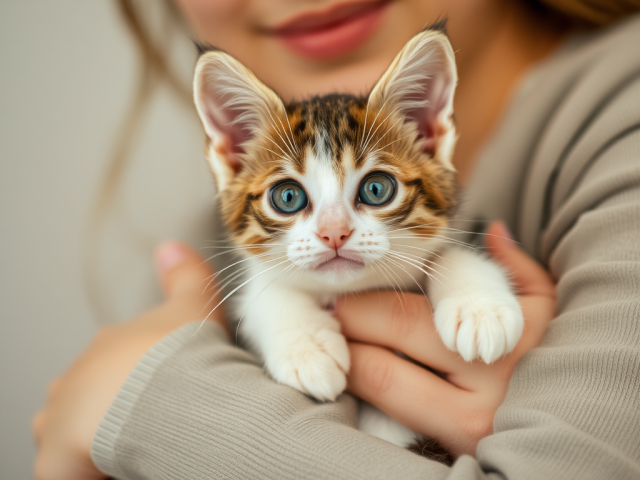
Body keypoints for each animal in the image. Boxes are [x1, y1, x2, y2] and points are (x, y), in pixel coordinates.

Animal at [192, 28, 524, 456]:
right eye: (288, 196)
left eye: (377, 188)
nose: (334, 232)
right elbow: (265, 289)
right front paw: (306, 347)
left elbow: (451, 251)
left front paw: (481, 309)